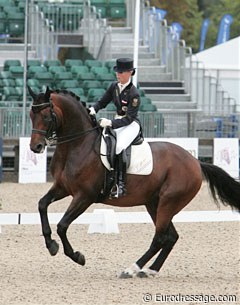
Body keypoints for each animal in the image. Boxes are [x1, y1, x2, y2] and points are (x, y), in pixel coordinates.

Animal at [28, 86, 240, 278]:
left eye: (46, 116)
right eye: (31, 115)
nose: (35, 147)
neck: (78, 145)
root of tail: (195, 162)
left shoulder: (84, 196)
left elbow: (62, 225)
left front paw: (77, 256)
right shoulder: (62, 188)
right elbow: (42, 205)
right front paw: (51, 244)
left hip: (169, 202)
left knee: (160, 237)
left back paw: (131, 269)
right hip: (154, 203)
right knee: (171, 237)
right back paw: (150, 270)